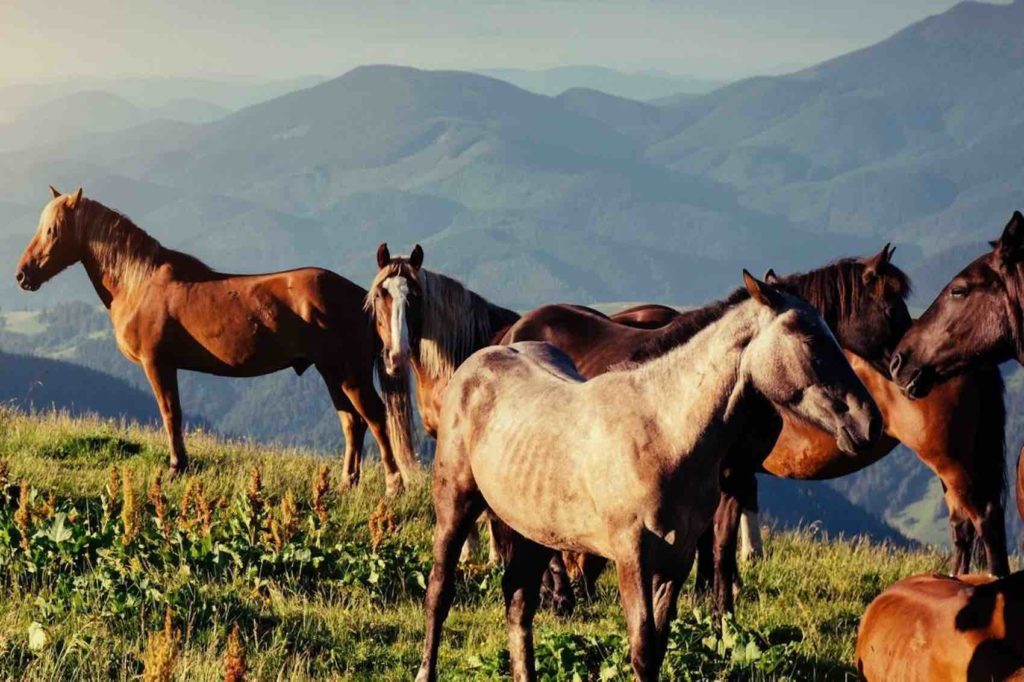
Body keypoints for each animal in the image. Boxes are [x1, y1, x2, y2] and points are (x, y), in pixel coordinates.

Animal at [14, 188, 415, 491]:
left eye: (52, 230)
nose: (22, 275)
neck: (139, 283)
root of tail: (364, 296)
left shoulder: (158, 364)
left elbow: (170, 413)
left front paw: (176, 467)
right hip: (331, 372)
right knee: (352, 422)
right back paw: (347, 483)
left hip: (347, 373)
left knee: (375, 417)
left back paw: (393, 484)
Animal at [415, 270, 880, 679]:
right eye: (809, 339)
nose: (868, 422)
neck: (665, 434)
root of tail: (481, 358)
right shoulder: (632, 558)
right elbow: (640, 649)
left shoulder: (676, 562)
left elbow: (657, 648)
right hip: (455, 505)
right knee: (440, 592)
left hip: (534, 531)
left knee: (517, 601)